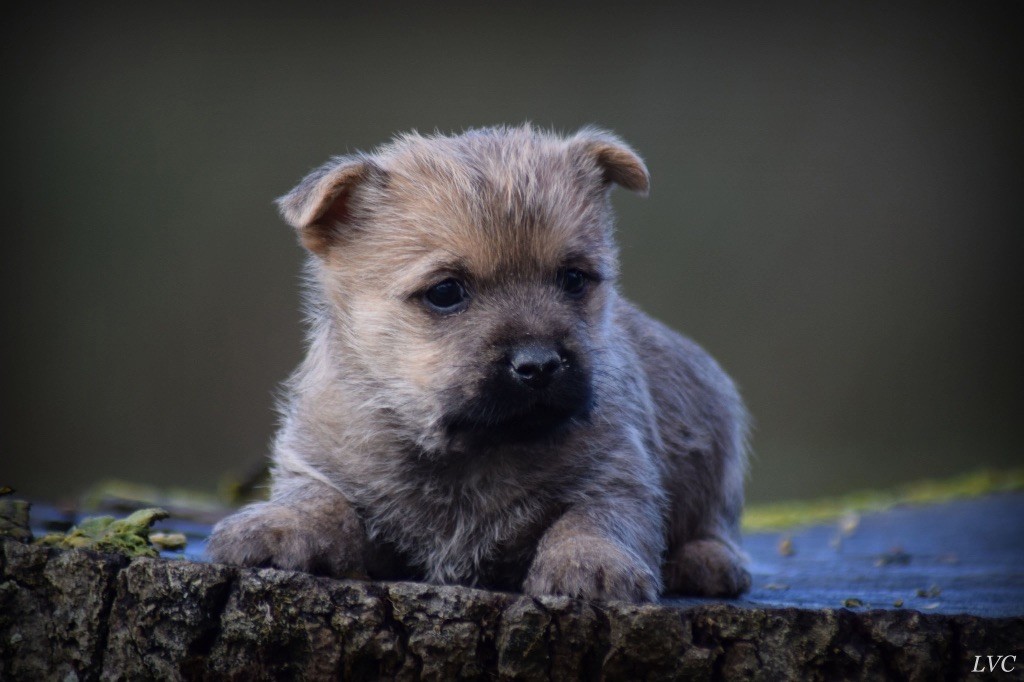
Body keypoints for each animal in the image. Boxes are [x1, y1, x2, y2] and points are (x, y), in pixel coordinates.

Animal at [209, 123, 753, 602]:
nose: (539, 364)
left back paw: (706, 560)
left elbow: (594, 517)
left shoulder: (618, 471)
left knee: (715, 520)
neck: (469, 452)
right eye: (446, 292)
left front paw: (592, 562)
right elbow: (319, 499)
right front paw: (278, 525)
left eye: (574, 278)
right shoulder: (318, 461)